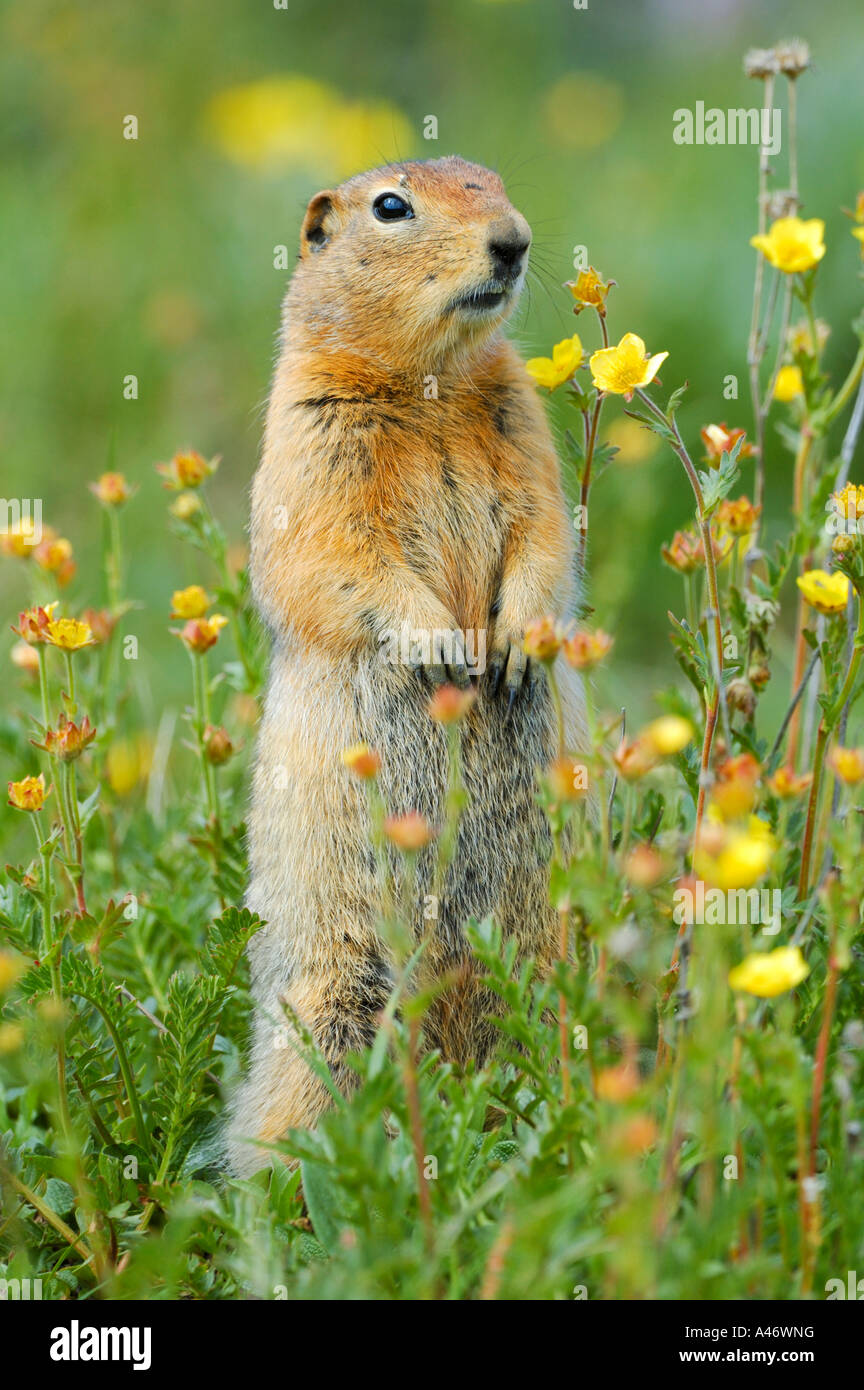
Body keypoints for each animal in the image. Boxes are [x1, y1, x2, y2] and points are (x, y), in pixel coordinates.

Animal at [226, 156, 585, 1175]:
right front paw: (442, 645)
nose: (514, 240)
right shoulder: (309, 437)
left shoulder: (523, 420)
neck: (431, 385)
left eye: (493, 180)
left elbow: (546, 530)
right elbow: (336, 555)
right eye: (392, 207)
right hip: (331, 1003)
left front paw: (516, 641)